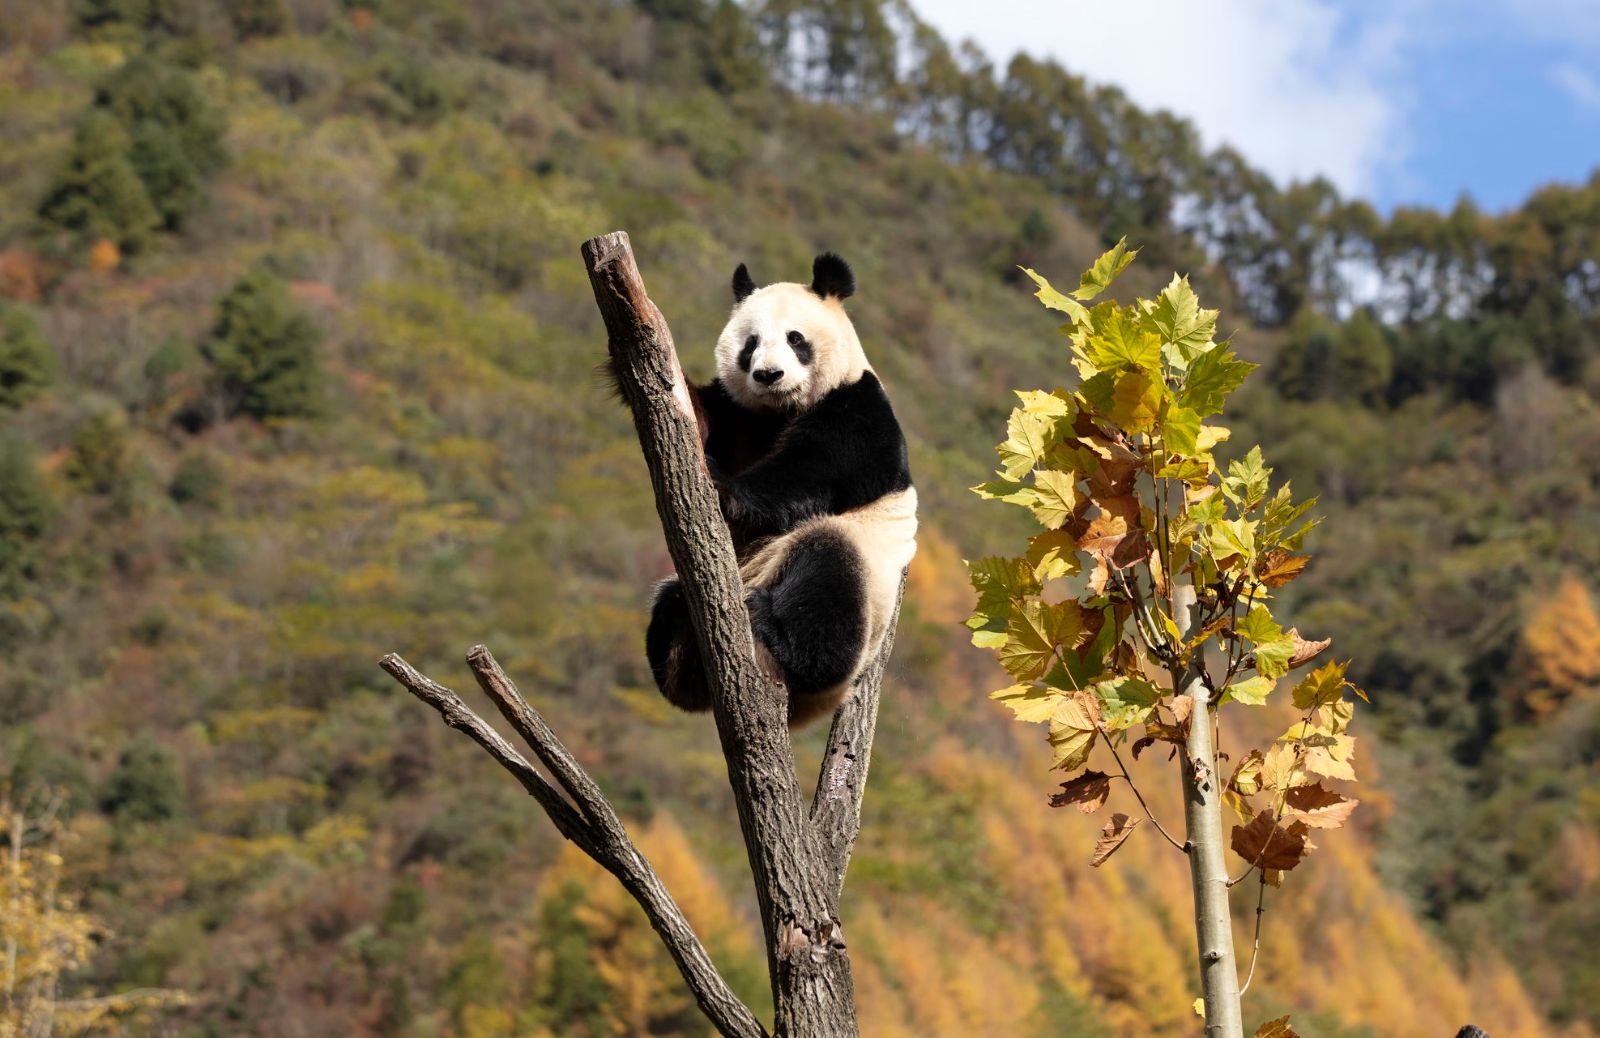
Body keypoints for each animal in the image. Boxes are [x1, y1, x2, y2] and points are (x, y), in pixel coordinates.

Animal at [636, 252, 915, 726]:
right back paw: (677, 641)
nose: (768, 374)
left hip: (866, 587)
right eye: (750, 343)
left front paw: (723, 485)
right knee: (669, 604)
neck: (780, 409)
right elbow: (699, 419)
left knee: (829, 574)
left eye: (795, 338)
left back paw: (772, 627)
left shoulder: (857, 414)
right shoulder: (739, 414)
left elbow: (808, 476)